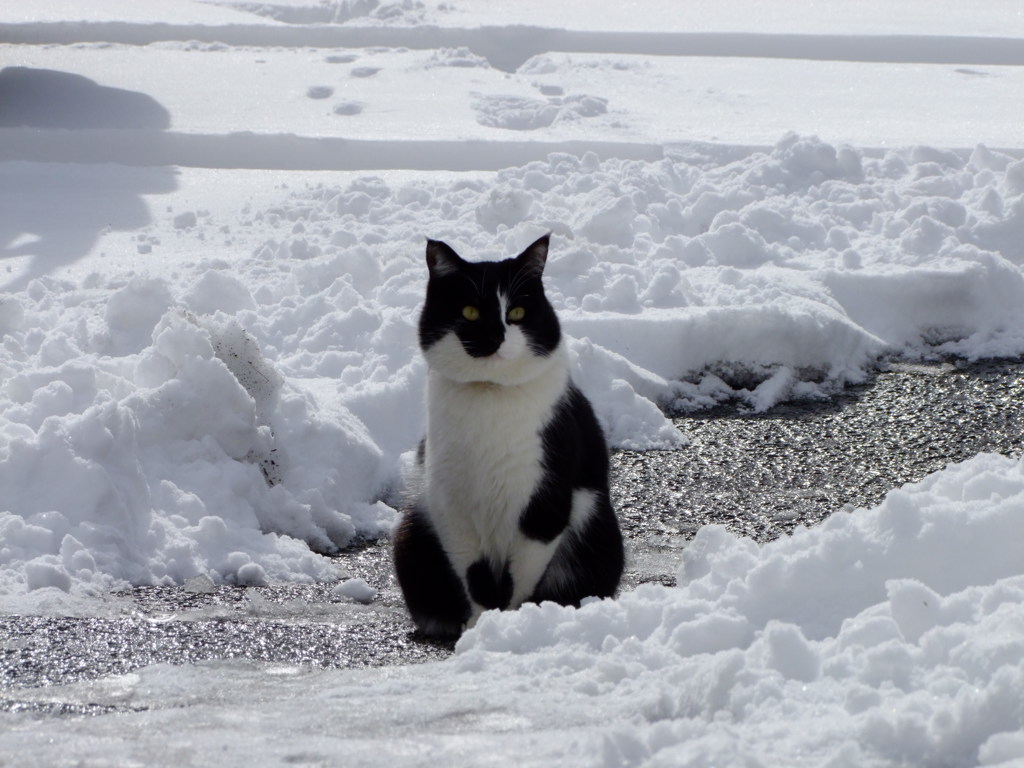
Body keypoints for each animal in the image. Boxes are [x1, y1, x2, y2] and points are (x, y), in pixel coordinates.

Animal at [389, 233, 622, 638]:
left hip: (599, 534)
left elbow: (521, 577)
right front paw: (481, 626)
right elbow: (473, 575)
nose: (496, 337)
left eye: (516, 313)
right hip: (411, 535)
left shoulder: (544, 503)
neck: (490, 396)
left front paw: (509, 625)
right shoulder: (450, 504)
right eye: (469, 312)